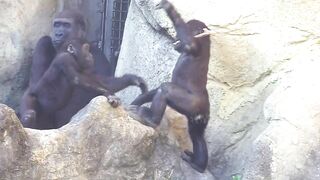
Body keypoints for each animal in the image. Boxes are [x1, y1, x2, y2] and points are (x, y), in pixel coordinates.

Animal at [18, 9, 146, 129]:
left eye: (66, 25)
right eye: (57, 25)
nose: (58, 34)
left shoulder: (98, 55)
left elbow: (100, 82)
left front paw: (129, 80)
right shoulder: (44, 43)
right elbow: (35, 83)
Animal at [129, 0, 211, 173]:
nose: (176, 39)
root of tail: (204, 109)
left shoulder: (194, 46)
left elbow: (189, 42)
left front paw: (168, 8)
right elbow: (153, 91)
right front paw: (136, 100)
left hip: (192, 104)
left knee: (166, 89)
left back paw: (152, 119)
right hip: (199, 117)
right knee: (197, 135)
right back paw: (198, 164)